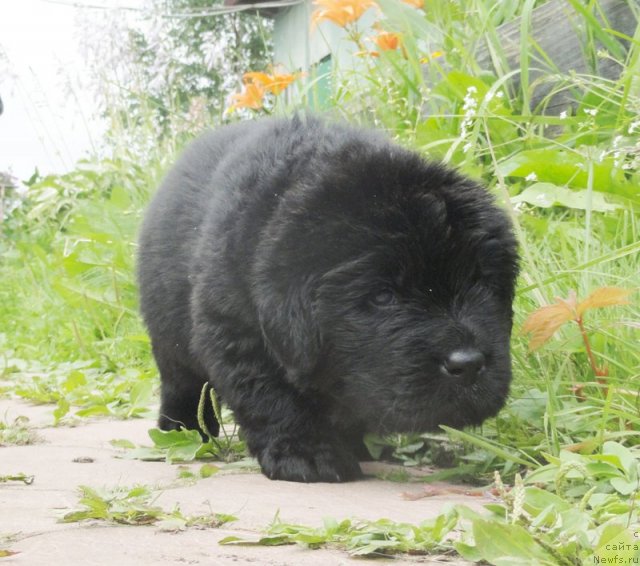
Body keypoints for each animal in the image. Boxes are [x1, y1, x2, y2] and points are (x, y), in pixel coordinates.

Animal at [136, 117, 520, 486]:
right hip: (168, 337)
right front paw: (308, 456)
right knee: (182, 383)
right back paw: (183, 429)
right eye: (383, 296)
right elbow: (273, 396)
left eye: (480, 283)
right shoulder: (236, 331)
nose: (468, 363)